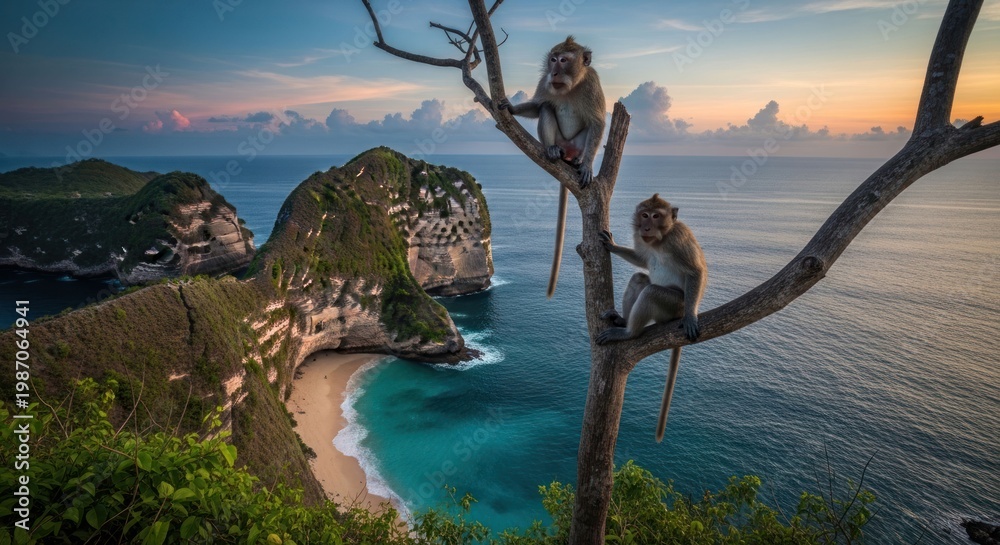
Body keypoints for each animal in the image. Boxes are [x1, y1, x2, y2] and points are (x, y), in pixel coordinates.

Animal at [499, 36, 606, 298]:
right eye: (553, 59)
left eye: (564, 60)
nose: (554, 71)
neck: (570, 86)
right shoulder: (544, 83)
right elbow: (540, 105)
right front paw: (512, 108)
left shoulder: (592, 84)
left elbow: (597, 123)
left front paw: (588, 166)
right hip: (559, 140)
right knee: (546, 108)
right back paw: (552, 151)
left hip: (577, 145)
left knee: (589, 127)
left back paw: (578, 162)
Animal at [595, 194, 707, 442]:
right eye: (645, 215)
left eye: (657, 216)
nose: (646, 226)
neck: (659, 240)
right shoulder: (642, 240)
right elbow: (642, 260)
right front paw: (612, 246)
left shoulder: (679, 238)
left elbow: (695, 271)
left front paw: (692, 317)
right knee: (639, 279)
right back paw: (622, 321)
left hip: (674, 306)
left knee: (651, 292)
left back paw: (629, 333)